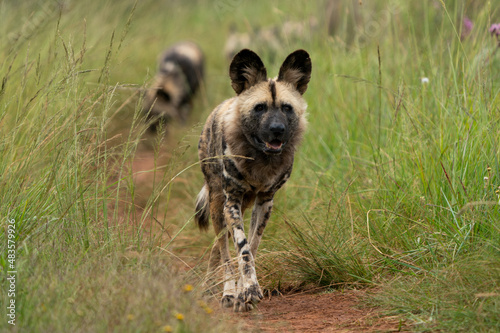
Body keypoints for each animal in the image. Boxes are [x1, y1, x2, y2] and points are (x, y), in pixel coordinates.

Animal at [194, 48, 308, 310]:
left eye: (287, 108)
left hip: (238, 205)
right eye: (260, 108)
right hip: (219, 205)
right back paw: (226, 292)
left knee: (218, 249)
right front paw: (246, 290)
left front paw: (245, 290)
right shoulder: (232, 202)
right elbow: (242, 249)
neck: (260, 159)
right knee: (224, 251)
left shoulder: (265, 201)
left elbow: (252, 247)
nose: (277, 129)